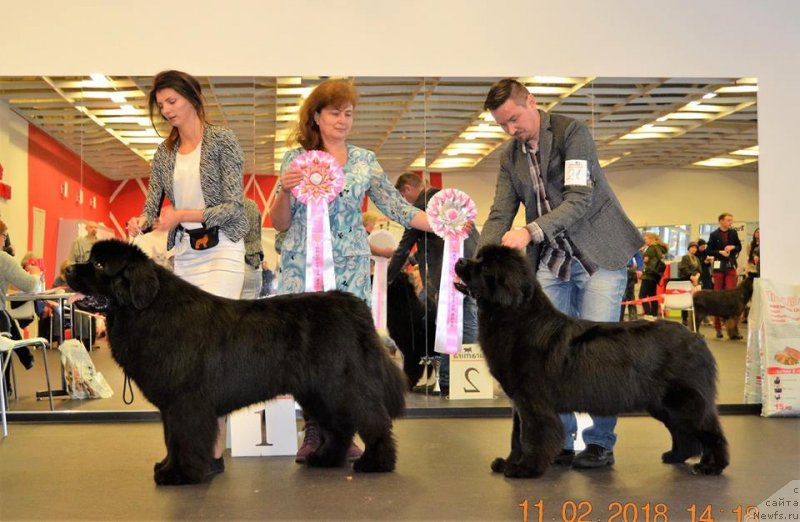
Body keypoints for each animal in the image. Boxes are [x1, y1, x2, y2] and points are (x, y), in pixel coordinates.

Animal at [65, 240, 410, 484]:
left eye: (98, 263)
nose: (67, 269)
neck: (146, 309)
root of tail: (352, 305)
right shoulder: (171, 406)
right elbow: (171, 438)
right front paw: (167, 466)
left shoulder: (185, 402)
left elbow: (184, 439)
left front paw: (179, 474)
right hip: (317, 392)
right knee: (338, 427)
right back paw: (325, 459)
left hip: (339, 385)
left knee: (371, 419)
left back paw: (376, 463)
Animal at [454, 244, 728, 476]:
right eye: (478, 258)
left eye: (485, 267)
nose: (459, 260)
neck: (516, 318)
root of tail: (696, 338)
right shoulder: (519, 402)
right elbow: (516, 435)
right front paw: (508, 463)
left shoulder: (532, 401)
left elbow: (530, 436)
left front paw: (526, 468)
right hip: (662, 403)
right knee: (684, 432)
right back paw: (676, 455)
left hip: (682, 400)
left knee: (709, 430)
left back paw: (711, 466)